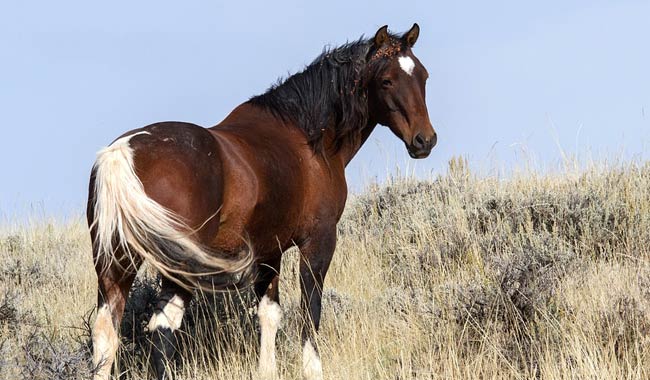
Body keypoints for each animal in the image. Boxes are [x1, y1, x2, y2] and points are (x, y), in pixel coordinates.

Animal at [86, 23, 436, 380]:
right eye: (387, 80)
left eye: (423, 76)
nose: (425, 140)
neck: (308, 139)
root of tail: (123, 153)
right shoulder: (319, 242)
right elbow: (310, 310)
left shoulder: (270, 253)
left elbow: (269, 315)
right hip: (176, 267)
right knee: (163, 327)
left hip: (116, 262)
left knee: (106, 330)